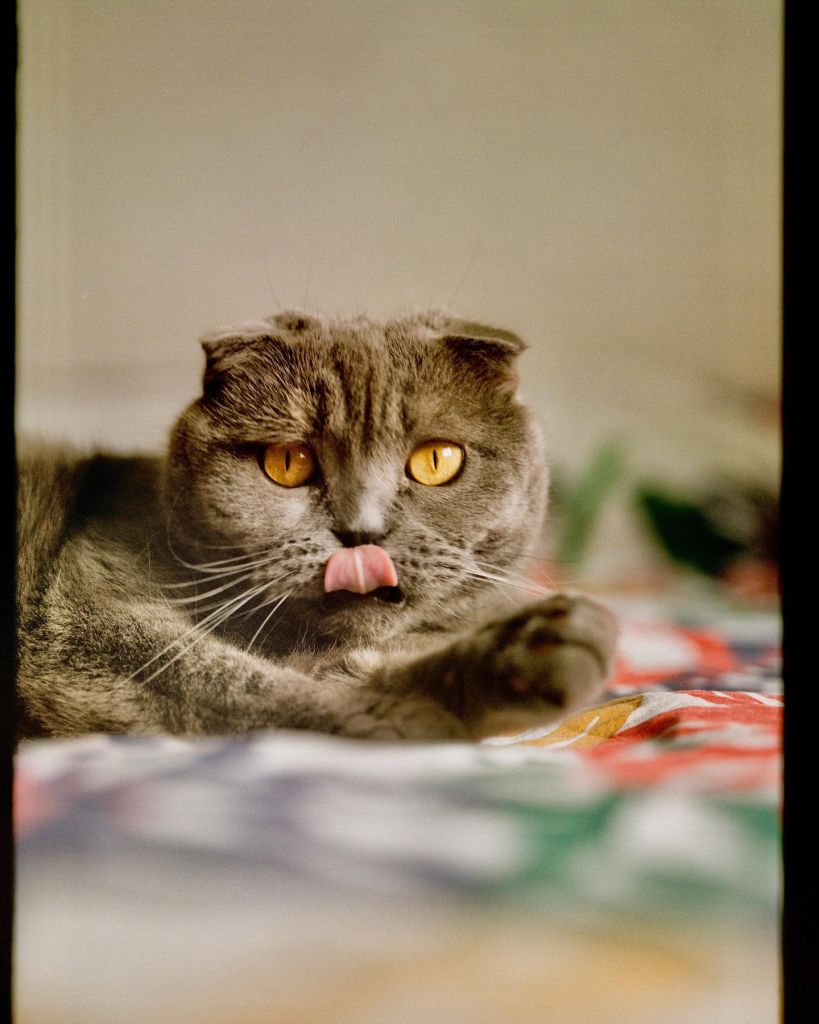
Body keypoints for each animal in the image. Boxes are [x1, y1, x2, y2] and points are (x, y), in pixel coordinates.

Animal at [15, 307, 618, 741]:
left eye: (437, 460)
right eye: (287, 462)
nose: (361, 532)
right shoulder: (77, 619)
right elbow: (240, 685)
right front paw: (456, 690)